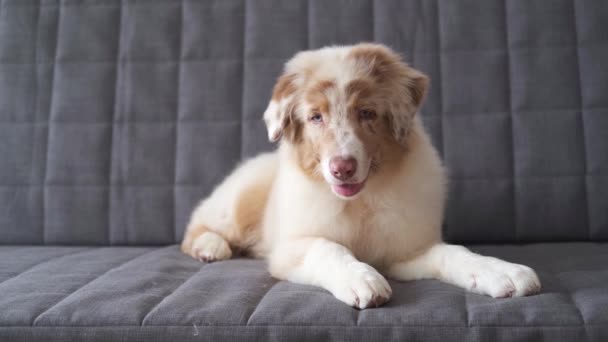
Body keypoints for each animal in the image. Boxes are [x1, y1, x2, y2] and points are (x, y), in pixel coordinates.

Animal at [178, 43, 540, 310]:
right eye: (316, 117)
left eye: (366, 113)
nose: (342, 168)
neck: (361, 202)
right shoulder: (290, 247)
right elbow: (328, 247)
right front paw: (361, 279)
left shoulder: (406, 252)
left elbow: (454, 252)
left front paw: (500, 271)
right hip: (238, 202)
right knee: (196, 223)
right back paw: (210, 246)